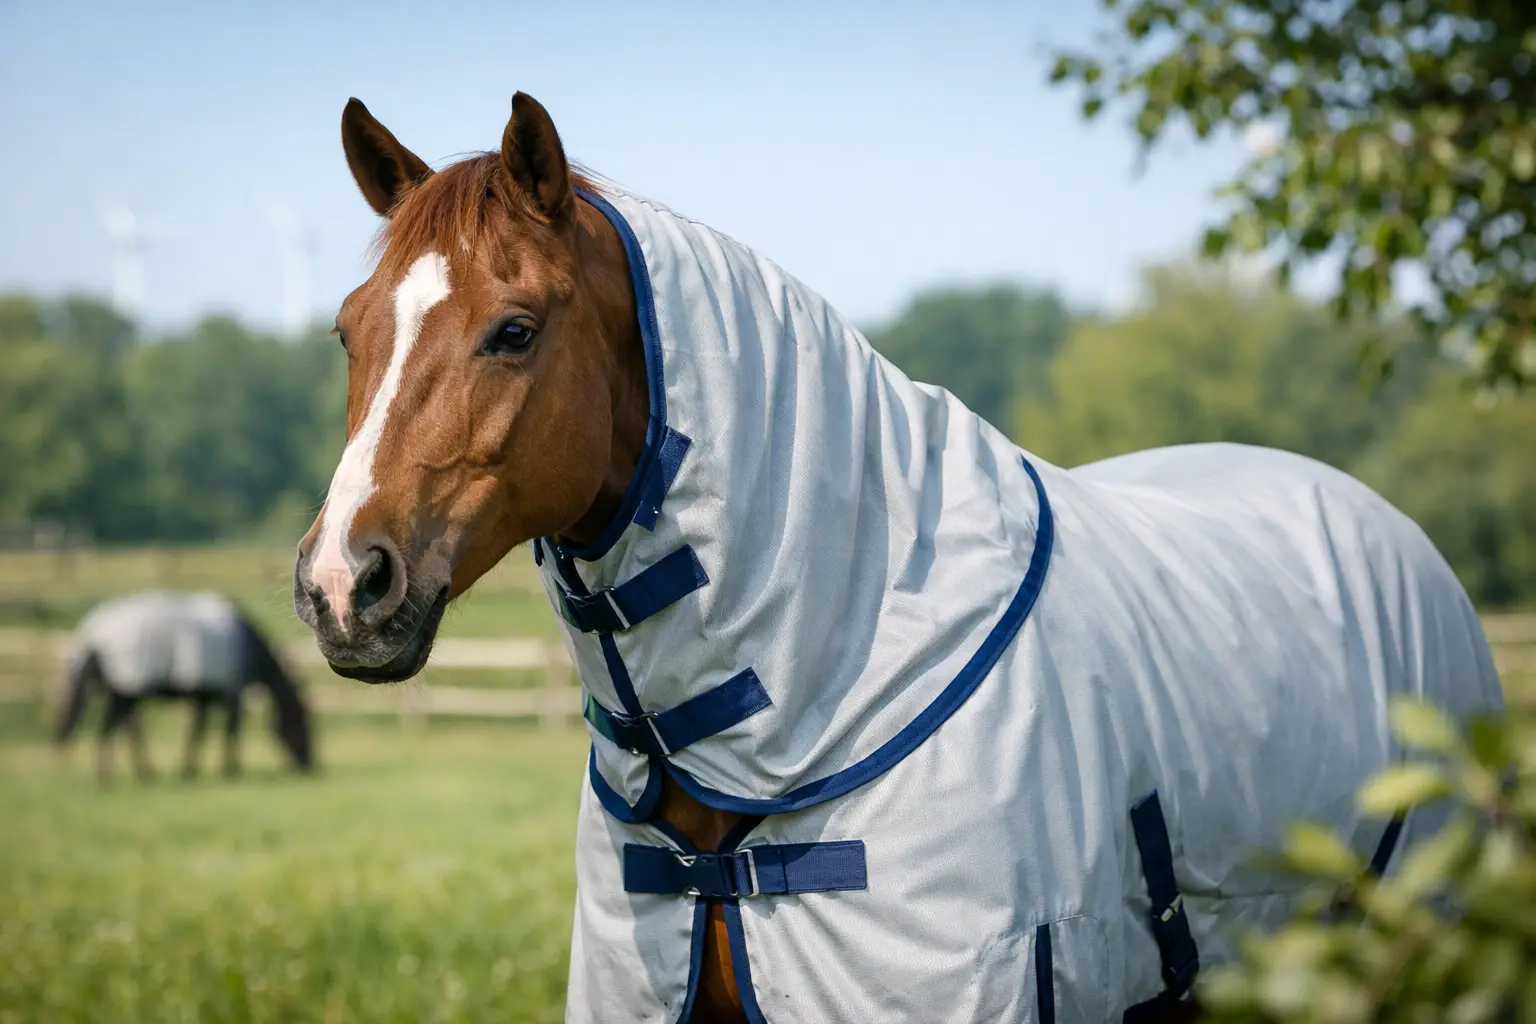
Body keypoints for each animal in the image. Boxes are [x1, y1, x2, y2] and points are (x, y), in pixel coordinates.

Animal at [56, 590, 314, 782]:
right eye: (299, 723)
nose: (309, 764)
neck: (247, 644)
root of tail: (93, 633)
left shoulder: (203, 698)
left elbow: (197, 732)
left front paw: (189, 769)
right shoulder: (233, 694)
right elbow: (231, 730)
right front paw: (230, 770)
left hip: (125, 692)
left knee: (128, 727)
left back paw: (143, 773)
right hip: (126, 692)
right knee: (112, 726)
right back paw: (106, 776)